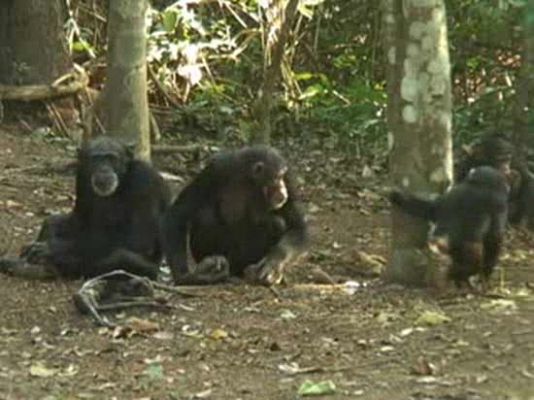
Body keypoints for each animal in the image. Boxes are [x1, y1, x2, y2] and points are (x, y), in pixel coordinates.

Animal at [0, 136, 172, 280]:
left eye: (111, 158)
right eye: (96, 159)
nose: (103, 169)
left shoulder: (145, 181)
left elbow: (137, 240)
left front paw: (51, 248)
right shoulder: (81, 176)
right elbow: (78, 219)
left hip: (150, 270)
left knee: (121, 256)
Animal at [165, 145, 312, 286]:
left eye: (282, 176)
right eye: (277, 177)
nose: (283, 188)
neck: (250, 179)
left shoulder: (290, 179)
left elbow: (298, 227)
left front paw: (273, 264)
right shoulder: (214, 170)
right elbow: (180, 212)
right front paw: (186, 276)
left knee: (277, 223)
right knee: (205, 216)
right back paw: (211, 264)